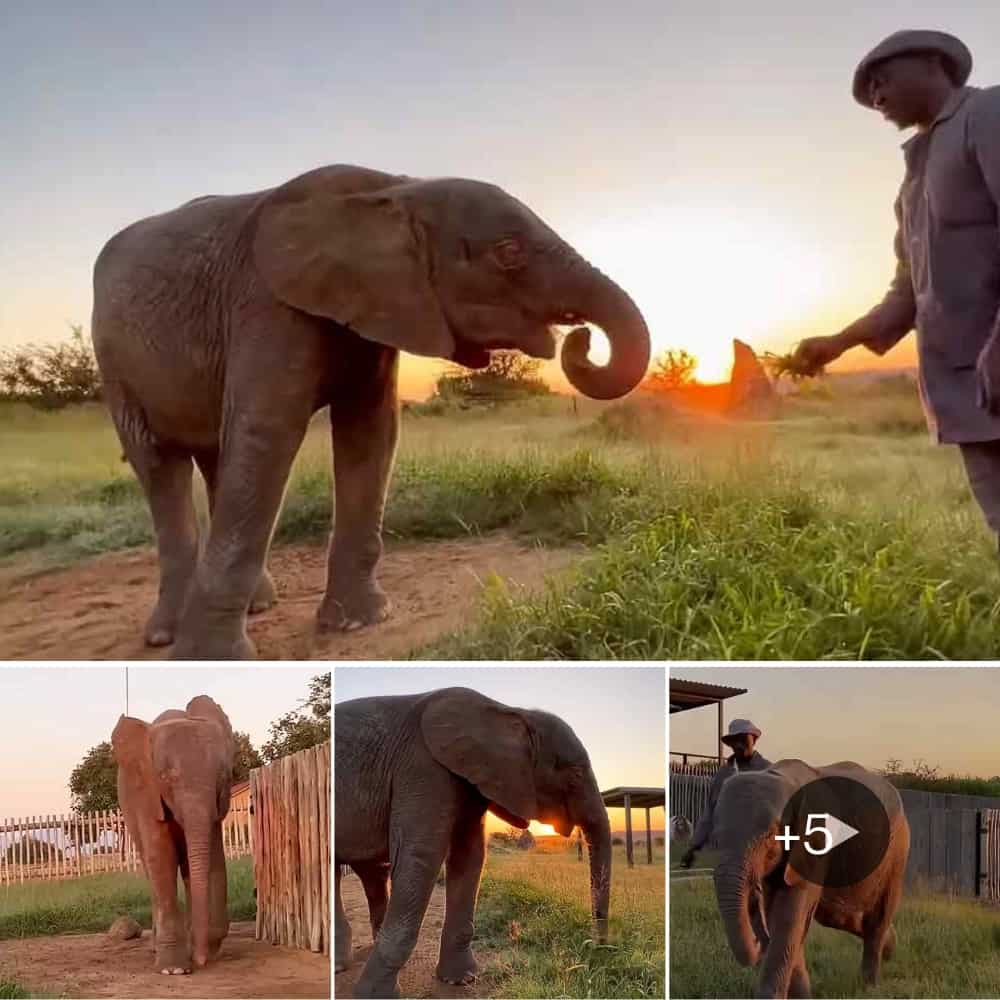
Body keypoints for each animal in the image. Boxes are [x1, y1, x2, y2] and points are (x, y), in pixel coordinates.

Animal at [91, 164, 651, 659]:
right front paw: (212, 660)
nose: (579, 339)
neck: (397, 189)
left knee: (213, 458)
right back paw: (166, 636)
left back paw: (258, 607)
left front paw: (358, 623)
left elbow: (370, 433)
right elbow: (267, 434)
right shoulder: (268, 304)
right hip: (114, 361)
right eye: (508, 252)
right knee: (159, 465)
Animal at [111, 695, 236, 974]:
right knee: (150, 869)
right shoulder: (147, 796)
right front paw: (174, 970)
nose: (201, 961)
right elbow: (161, 858)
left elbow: (210, 858)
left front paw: (207, 949)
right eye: (165, 778)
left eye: (223, 776)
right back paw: (156, 950)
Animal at [334, 687, 612, 1000]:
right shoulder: (422, 767)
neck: (510, 712)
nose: (596, 949)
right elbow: (420, 856)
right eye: (575, 774)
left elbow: (469, 856)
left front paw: (460, 980)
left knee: (368, 873)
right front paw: (372, 996)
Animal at [712, 759, 909, 999]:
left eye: (769, 837)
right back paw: (890, 947)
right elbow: (780, 916)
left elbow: (789, 916)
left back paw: (871, 987)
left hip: (897, 855)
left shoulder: (815, 844)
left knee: (878, 918)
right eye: (715, 838)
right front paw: (804, 996)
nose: (758, 941)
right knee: (844, 917)